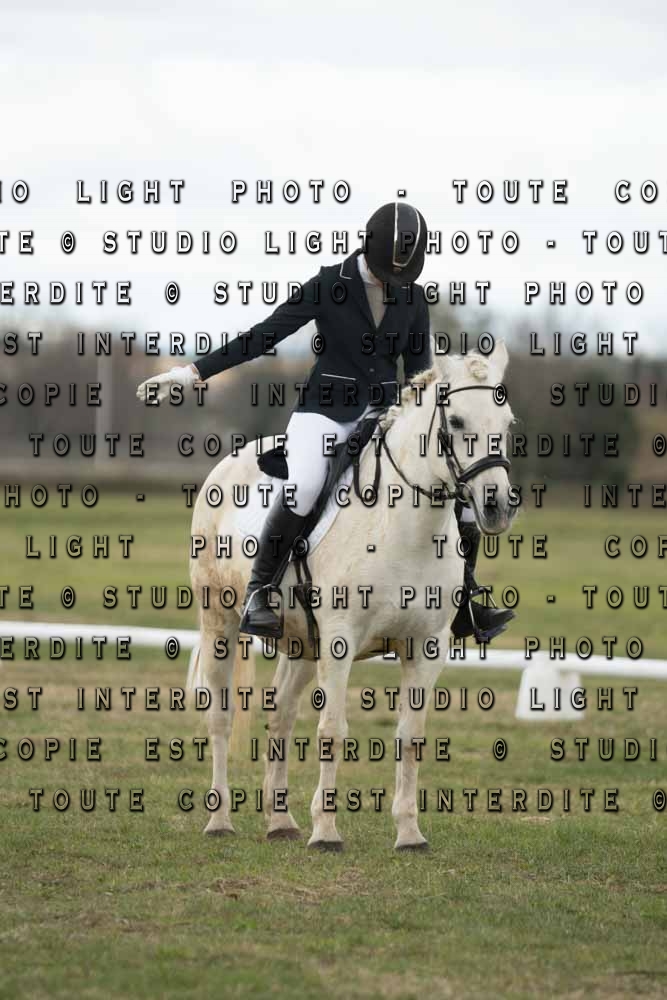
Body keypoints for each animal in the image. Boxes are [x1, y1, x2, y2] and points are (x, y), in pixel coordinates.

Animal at [188, 340, 516, 850]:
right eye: (458, 421)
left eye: (508, 424)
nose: (497, 506)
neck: (405, 525)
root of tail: (230, 462)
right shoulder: (340, 641)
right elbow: (332, 731)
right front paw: (326, 832)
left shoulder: (427, 646)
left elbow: (411, 735)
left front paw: (409, 833)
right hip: (218, 620)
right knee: (220, 716)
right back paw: (219, 820)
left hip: (302, 642)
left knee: (280, 716)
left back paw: (280, 822)